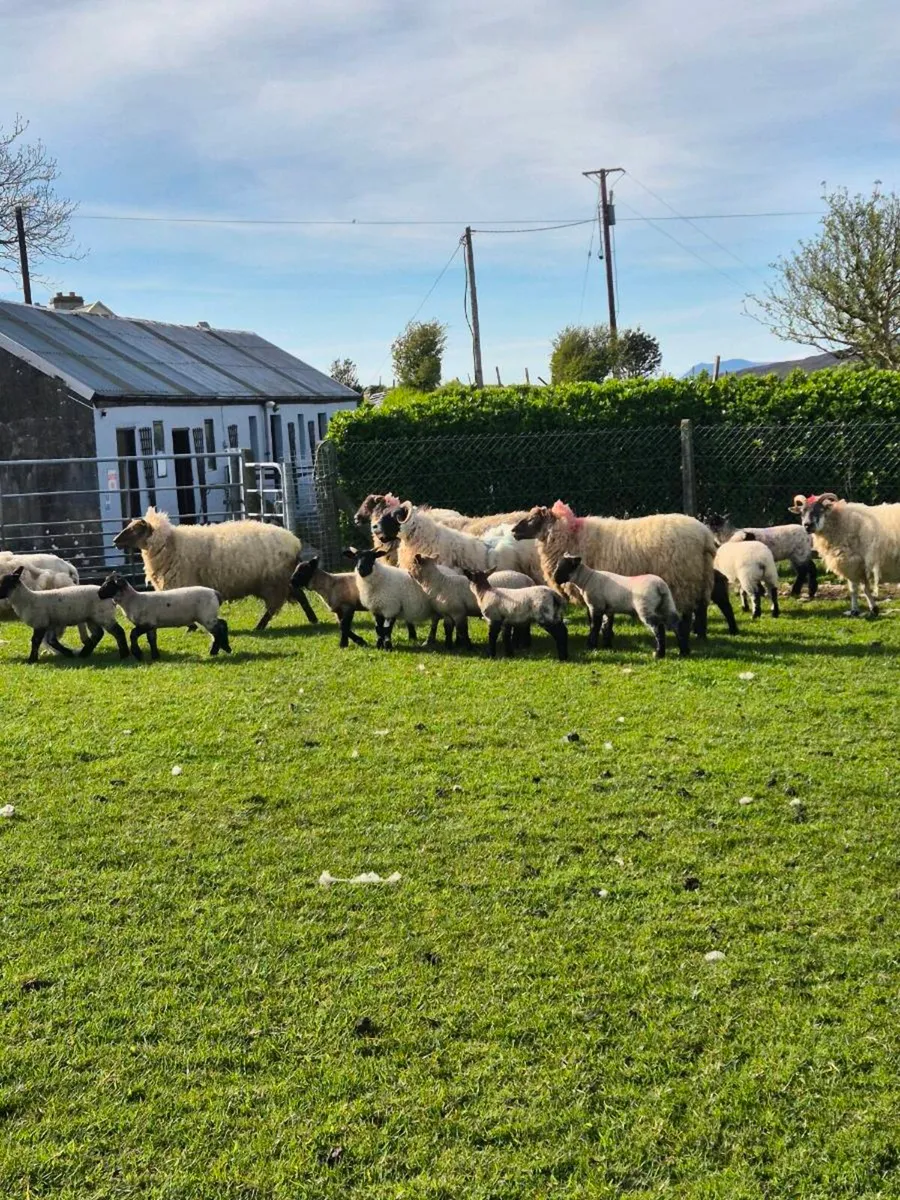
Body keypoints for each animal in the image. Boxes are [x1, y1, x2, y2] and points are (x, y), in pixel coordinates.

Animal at [0, 566, 129, 663]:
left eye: (3, 583)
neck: (27, 599)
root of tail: (111, 599)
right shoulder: (50, 624)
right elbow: (52, 641)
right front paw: (68, 653)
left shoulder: (40, 622)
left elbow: (36, 641)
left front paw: (31, 659)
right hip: (92, 617)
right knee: (98, 634)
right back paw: (84, 653)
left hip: (104, 616)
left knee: (118, 632)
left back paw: (124, 654)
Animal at [97, 574, 230, 660]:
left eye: (109, 584)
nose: (99, 594)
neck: (132, 600)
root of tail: (215, 593)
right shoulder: (151, 625)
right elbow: (152, 639)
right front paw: (155, 656)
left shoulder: (147, 623)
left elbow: (133, 634)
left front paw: (138, 654)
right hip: (209, 616)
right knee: (223, 624)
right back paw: (226, 647)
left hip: (206, 616)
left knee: (218, 630)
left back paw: (214, 651)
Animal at [113, 508, 314, 631]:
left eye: (135, 530)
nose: (115, 541)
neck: (170, 544)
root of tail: (294, 542)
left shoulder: (185, 582)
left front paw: (191, 627)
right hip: (283, 580)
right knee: (300, 596)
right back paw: (313, 619)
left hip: (275, 582)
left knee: (275, 606)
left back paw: (260, 625)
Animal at [553, 554, 684, 658]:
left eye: (563, 567)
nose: (554, 579)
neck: (587, 579)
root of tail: (660, 586)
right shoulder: (608, 609)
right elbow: (606, 626)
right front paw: (607, 646)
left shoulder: (595, 606)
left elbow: (594, 627)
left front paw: (591, 645)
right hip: (667, 605)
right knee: (677, 625)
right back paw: (684, 651)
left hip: (645, 608)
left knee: (659, 628)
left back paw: (659, 653)